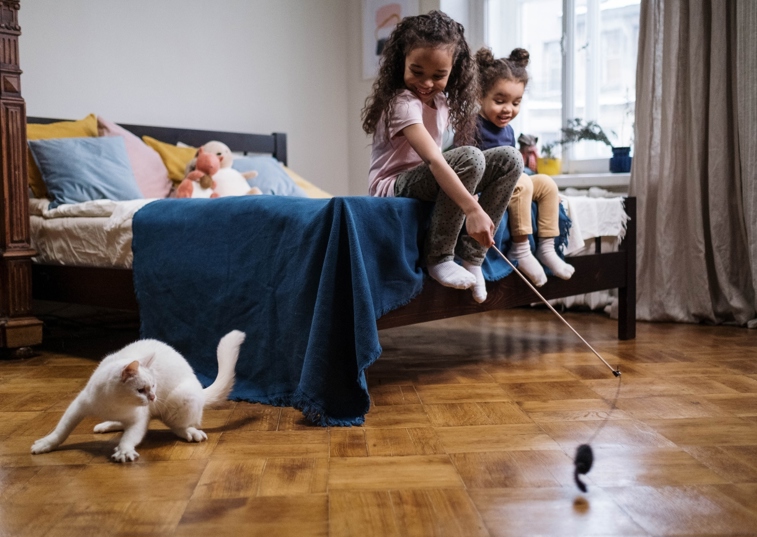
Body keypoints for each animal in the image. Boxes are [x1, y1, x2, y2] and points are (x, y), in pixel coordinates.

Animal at [31, 328, 244, 462]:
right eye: (141, 390)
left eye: (154, 386)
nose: (153, 398)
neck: (114, 405)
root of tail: (200, 389)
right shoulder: (78, 406)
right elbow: (61, 430)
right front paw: (45, 444)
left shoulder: (139, 419)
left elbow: (130, 436)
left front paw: (124, 451)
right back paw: (106, 425)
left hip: (182, 399)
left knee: (179, 426)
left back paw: (190, 432)